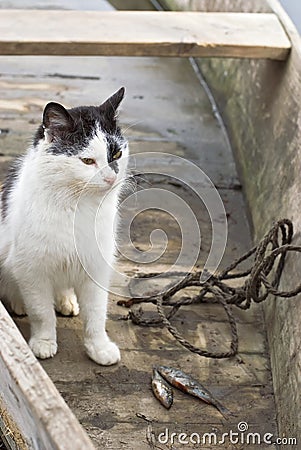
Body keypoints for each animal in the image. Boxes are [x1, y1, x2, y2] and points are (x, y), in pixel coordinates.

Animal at [0, 87, 127, 366]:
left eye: (116, 155)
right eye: (87, 161)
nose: (111, 177)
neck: (77, 207)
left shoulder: (95, 266)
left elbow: (96, 314)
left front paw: (99, 347)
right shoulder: (32, 270)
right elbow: (41, 312)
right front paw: (44, 342)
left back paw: (66, 301)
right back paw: (19, 303)